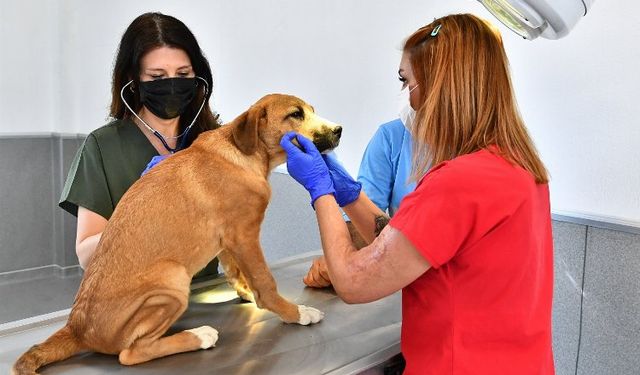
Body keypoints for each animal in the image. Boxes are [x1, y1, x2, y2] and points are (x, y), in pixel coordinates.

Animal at [12, 94, 340, 375]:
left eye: (310, 110)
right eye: (295, 114)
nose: (339, 130)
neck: (243, 152)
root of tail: (76, 328)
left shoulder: (227, 240)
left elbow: (237, 273)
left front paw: (248, 294)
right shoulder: (244, 235)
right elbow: (265, 281)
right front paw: (295, 312)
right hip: (172, 280)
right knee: (130, 353)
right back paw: (199, 336)